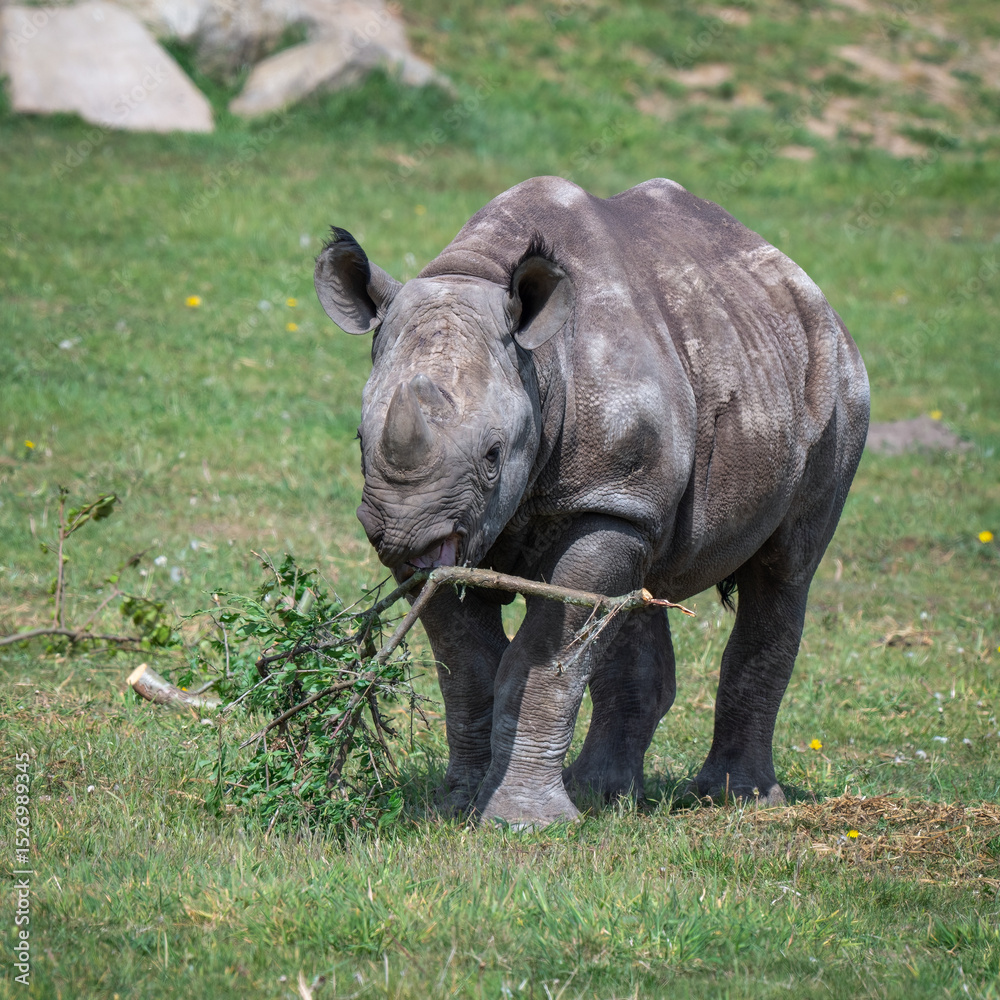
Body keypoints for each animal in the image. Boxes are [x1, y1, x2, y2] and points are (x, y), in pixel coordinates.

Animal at [314, 176, 869, 827]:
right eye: (360, 440)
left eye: (494, 455)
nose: (402, 535)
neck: (540, 365)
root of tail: (805, 286)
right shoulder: (491, 515)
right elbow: (468, 663)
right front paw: (457, 807)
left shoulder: (605, 500)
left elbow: (541, 660)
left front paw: (522, 823)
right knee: (639, 588)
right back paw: (604, 793)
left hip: (835, 383)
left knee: (783, 571)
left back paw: (737, 799)